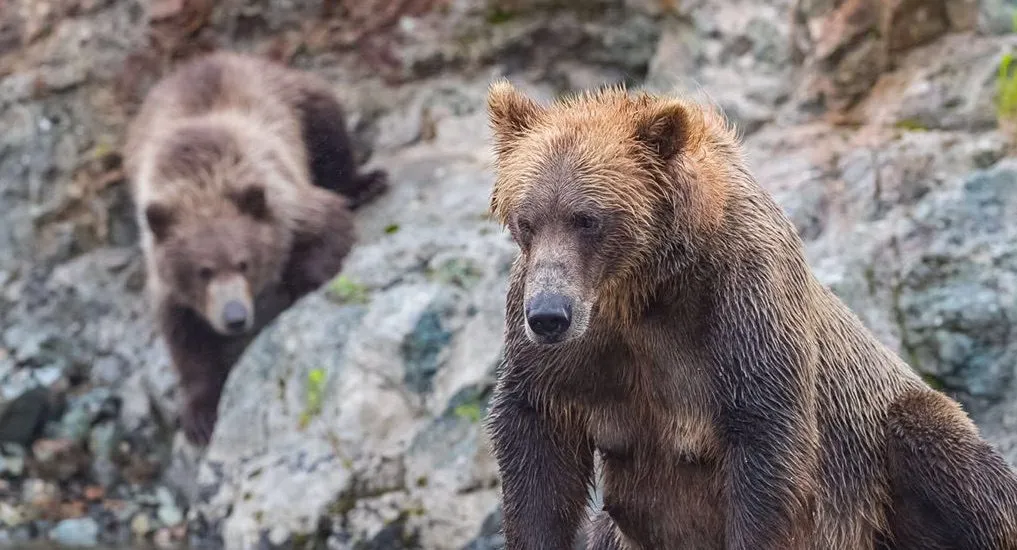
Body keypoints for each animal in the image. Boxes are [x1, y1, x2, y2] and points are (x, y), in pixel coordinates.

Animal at [123, 51, 384, 445]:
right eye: (202, 271)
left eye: (243, 262)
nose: (235, 317)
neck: (201, 184)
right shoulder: (164, 272)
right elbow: (185, 337)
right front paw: (200, 415)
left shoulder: (281, 198)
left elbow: (326, 225)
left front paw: (300, 284)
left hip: (297, 99)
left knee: (329, 133)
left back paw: (366, 183)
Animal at [480, 81, 1016, 548]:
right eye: (526, 220)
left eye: (587, 219)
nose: (548, 315)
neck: (643, 289)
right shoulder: (577, 347)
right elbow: (536, 442)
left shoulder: (741, 308)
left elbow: (766, 445)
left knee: (943, 450)